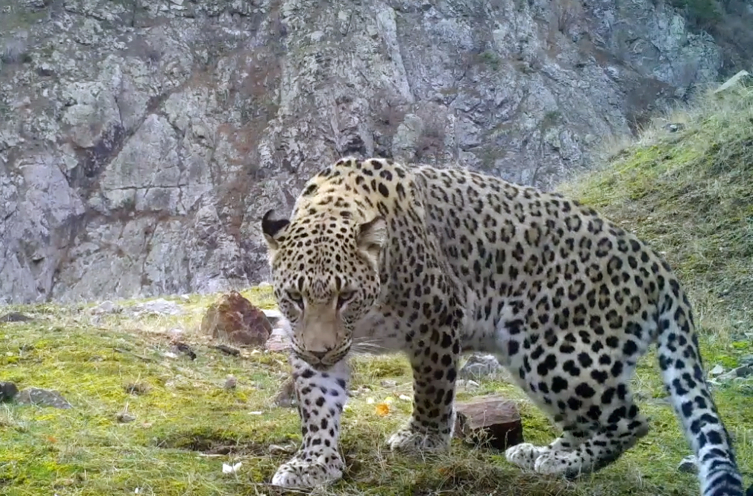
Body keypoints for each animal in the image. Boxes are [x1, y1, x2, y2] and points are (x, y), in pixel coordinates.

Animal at [260, 156, 748, 496]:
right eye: (296, 298)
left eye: (345, 297)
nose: (321, 349)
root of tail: (657, 263)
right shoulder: (311, 345)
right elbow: (318, 404)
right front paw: (314, 463)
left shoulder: (437, 319)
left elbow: (432, 390)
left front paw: (423, 440)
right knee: (587, 421)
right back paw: (543, 454)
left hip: (552, 348)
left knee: (630, 420)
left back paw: (563, 463)